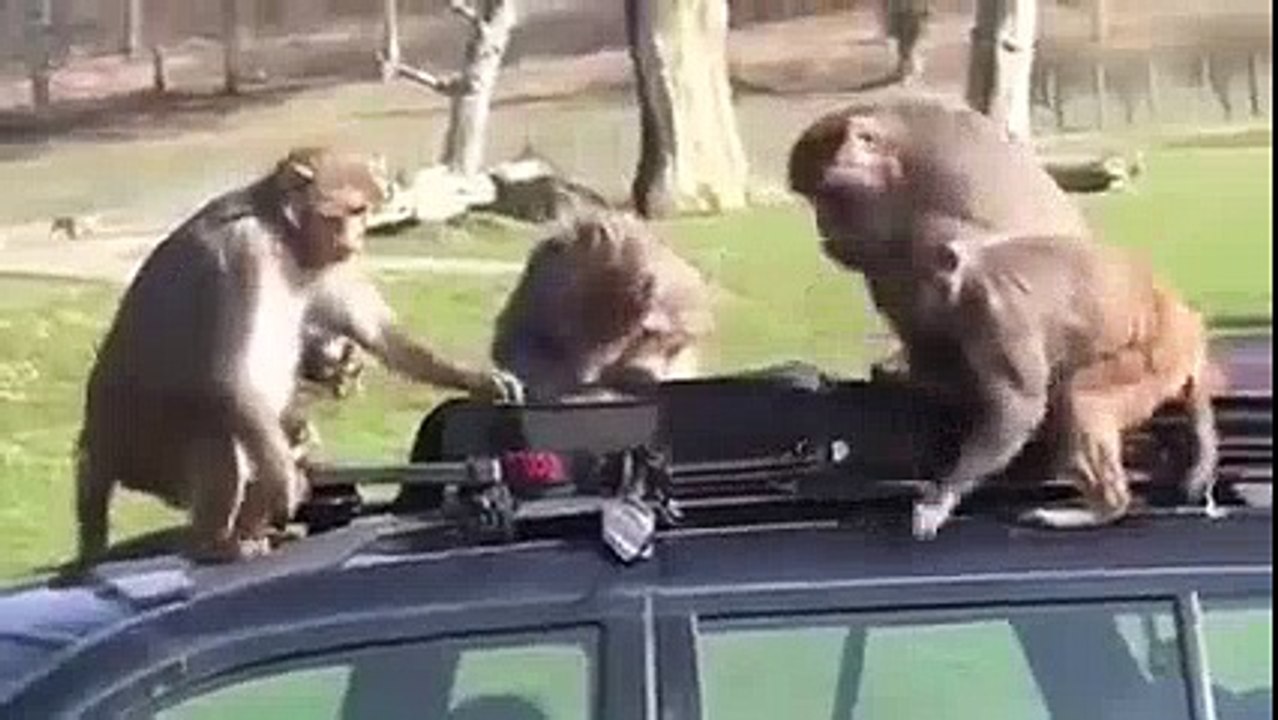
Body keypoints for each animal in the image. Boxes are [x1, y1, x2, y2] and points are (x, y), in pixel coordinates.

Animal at [75, 147, 522, 566]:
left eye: (364, 213)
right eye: (349, 211)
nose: (355, 240)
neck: (282, 234)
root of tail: (97, 444)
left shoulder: (326, 264)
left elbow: (379, 334)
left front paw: (479, 379)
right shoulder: (241, 253)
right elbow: (230, 375)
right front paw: (280, 478)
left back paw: (261, 524)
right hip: (145, 450)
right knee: (220, 429)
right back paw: (217, 544)